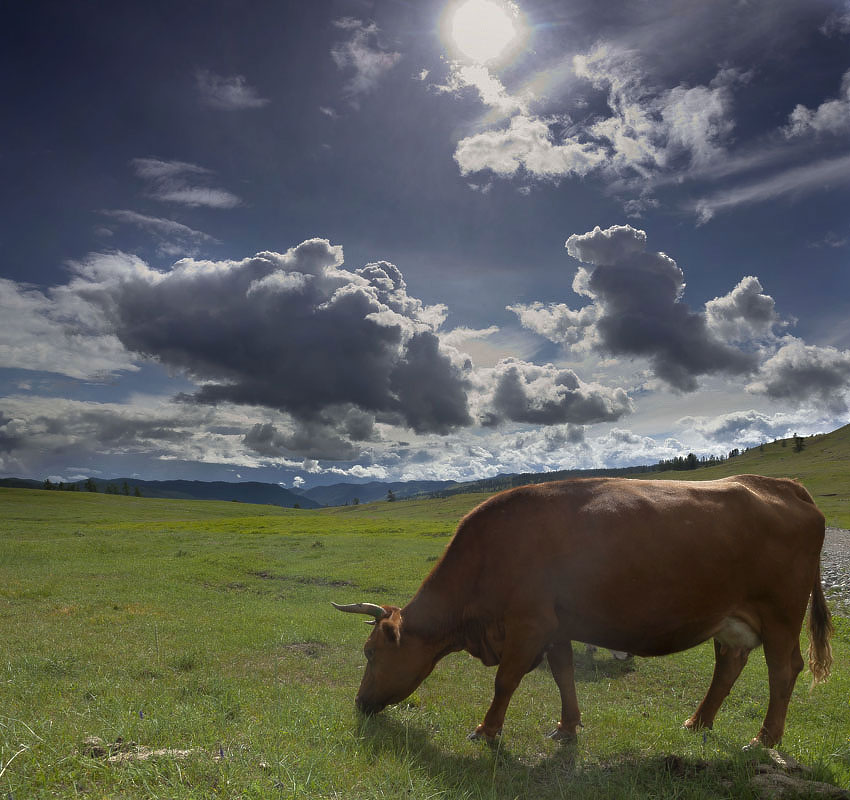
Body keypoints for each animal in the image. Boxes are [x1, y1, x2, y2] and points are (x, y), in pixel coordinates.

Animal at [334, 476, 832, 744]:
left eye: (370, 653)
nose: (359, 702)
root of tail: (782, 485)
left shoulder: (528, 624)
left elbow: (505, 680)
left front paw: (487, 730)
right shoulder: (557, 626)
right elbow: (564, 674)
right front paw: (567, 726)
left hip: (781, 615)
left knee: (783, 671)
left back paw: (765, 738)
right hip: (732, 621)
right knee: (728, 667)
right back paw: (697, 723)